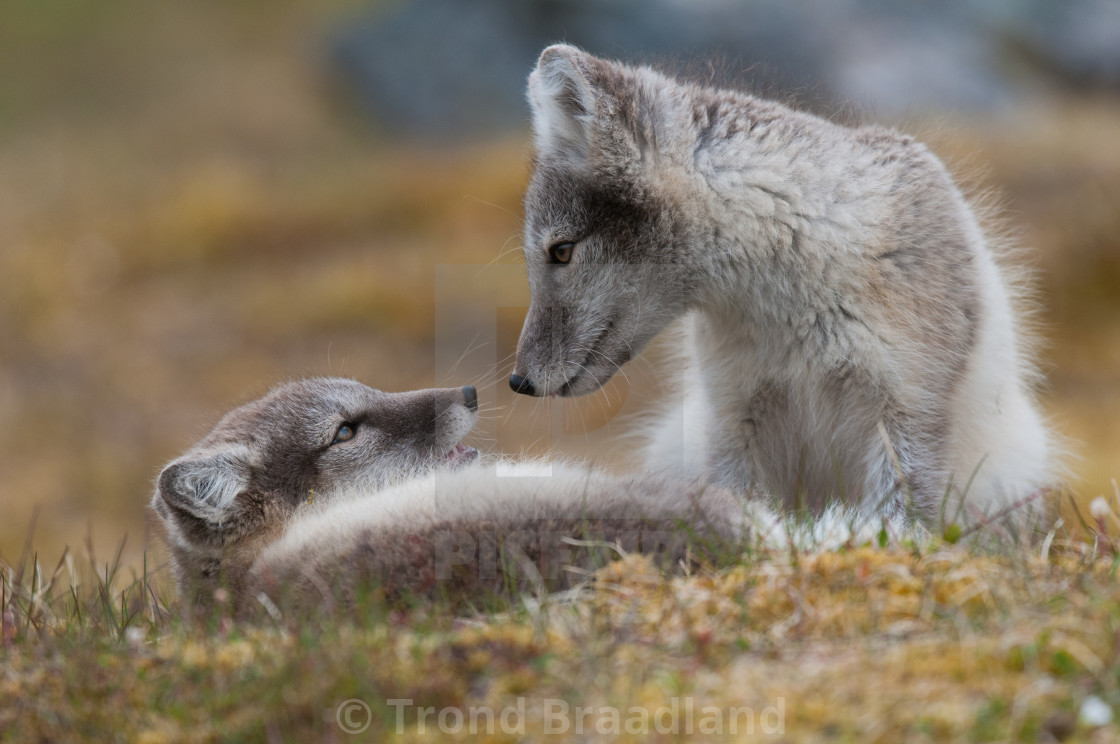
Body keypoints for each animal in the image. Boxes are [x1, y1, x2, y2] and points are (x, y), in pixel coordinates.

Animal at [512, 43, 1052, 526]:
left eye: (561, 251)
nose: (519, 383)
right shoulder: (735, 413)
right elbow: (739, 496)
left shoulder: (910, 410)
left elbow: (900, 515)